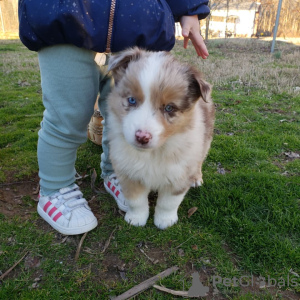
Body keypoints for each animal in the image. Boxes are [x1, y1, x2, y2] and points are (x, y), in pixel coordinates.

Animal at [106, 47, 214, 230]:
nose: (142, 137)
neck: (154, 153)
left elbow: (168, 203)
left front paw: (165, 221)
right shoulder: (128, 172)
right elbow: (136, 200)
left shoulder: (179, 174)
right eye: (131, 100)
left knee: (200, 160)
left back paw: (196, 178)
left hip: (205, 140)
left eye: (169, 108)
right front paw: (136, 219)